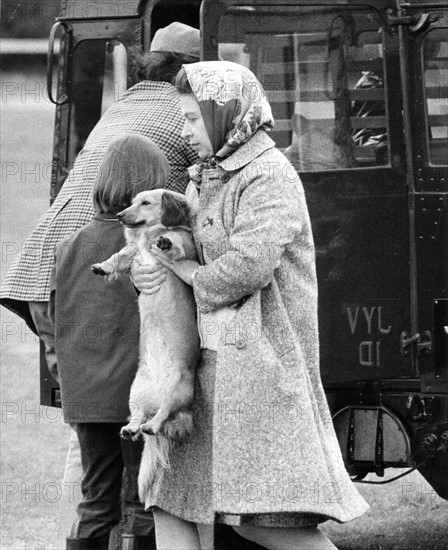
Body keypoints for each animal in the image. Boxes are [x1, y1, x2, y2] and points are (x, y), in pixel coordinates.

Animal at [91, 191, 200, 504]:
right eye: (131, 201)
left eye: (146, 203)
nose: (118, 215)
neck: (148, 235)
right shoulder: (132, 254)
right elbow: (121, 255)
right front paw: (103, 266)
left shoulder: (185, 247)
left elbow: (177, 243)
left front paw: (166, 242)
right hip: (136, 392)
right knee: (139, 418)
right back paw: (131, 428)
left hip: (177, 390)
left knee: (161, 417)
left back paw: (152, 425)